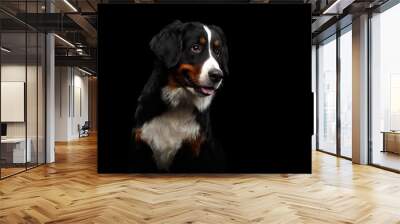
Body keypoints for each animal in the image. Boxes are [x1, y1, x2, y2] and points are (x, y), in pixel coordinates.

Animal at [132, 20, 228, 172]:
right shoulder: (142, 141)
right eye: (195, 47)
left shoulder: (196, 147)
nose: (217, 75)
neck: (180, 104)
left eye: (217, 52)